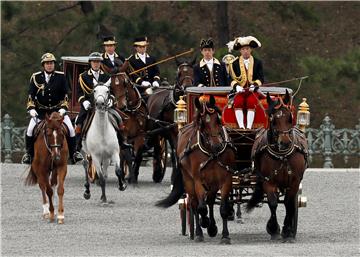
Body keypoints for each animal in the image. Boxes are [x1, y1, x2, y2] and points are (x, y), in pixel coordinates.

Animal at [157, 95, 236, 243]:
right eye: (202, 123)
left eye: (218, 119)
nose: (217, 145)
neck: (212, 152)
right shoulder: (198, 180)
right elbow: (201, 208)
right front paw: (204, 223)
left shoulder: (226, 179)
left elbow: (223, 208)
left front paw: (225, 235)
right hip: (188, 180)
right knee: (194, 204)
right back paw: (199, 231)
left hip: (213, 183)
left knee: (210, 200)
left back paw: (212, 227)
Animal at [248, 90, 310, 242]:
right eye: (273, 119)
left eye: (289, 118)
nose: (285, 143)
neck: (282, 155)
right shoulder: (268, 181)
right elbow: (273, 203)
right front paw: (273, 229)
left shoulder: (294, 181)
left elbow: (289, 203)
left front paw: (287, 230)